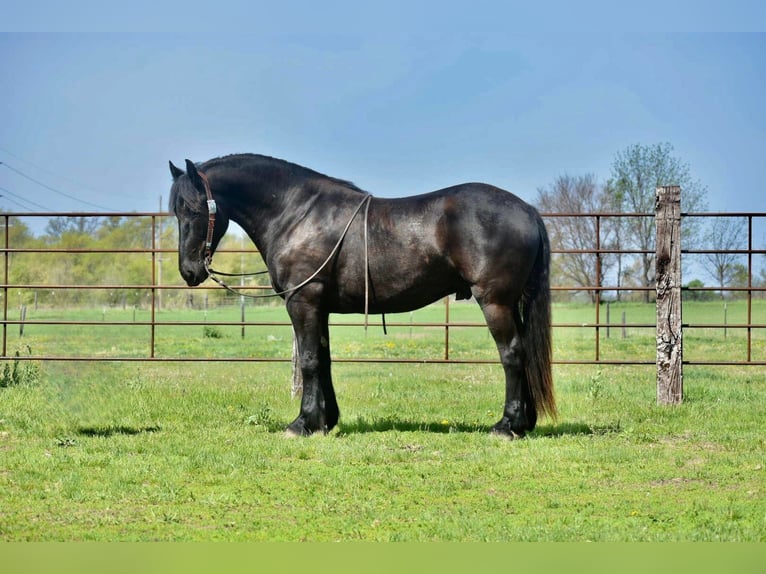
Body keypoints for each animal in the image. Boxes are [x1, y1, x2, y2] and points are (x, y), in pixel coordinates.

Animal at [171, 155, 560, 438]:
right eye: (176, 210)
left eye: (194, 208)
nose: (189, 271)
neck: (296, 214)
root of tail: (526, 210)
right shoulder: (320, 308)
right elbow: (323, 359)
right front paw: (325, 421)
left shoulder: (304, 302)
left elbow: (309, 360)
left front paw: (302, 424)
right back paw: (524, 423)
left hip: (495, 302)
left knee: (512, 355)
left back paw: (507, 426)